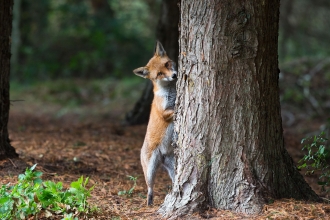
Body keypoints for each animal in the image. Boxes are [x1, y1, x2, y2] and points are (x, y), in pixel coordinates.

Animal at [133, 41, 177, 206]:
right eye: (159, 74)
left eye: (167, 64)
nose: (174, 76)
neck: (170, 93)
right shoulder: (163, 111)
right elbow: (174, 110)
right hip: (150, 170)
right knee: (149, 187)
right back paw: (149, 202)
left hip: (173, 166)